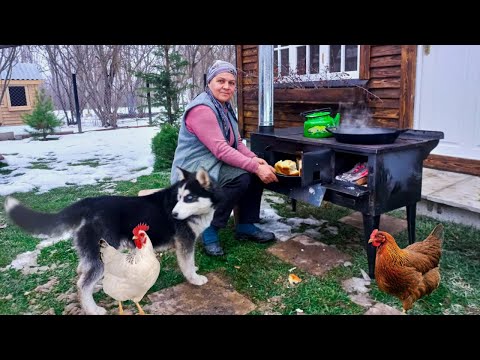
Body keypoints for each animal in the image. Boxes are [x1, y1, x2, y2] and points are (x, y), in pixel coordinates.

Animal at [4, 167, 221, 314]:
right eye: (179, 198)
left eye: (189, 198)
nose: (174, 214)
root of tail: (89, 202)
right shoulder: (185, 242)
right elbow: (187, 264)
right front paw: (195, 279)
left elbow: (189, 263)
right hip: (102, 252)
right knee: (82, 284)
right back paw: (92, 309)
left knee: (82, 272)